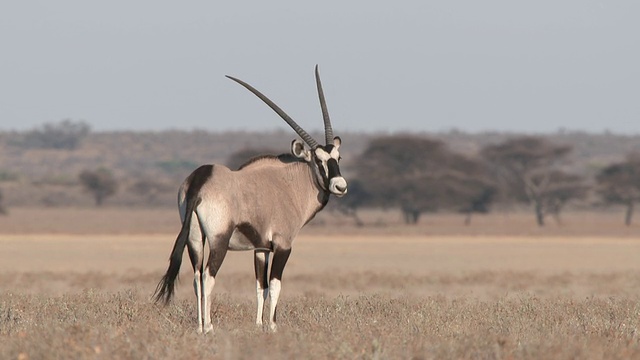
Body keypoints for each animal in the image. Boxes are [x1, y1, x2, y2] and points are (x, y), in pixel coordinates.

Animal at [153, 66, 348, 334]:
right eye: (319, 161)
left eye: (337, 157)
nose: (340, 186)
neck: (290, 183)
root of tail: (200, 179)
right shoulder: (283, 245)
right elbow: (275, 285)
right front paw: (273, 326)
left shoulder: (261, 248)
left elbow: (260, 287)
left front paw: (258, 325)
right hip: (219, 240)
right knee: (207, 276)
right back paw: (209, 327)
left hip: (194, 237)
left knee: (195, 277)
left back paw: (199, 327)